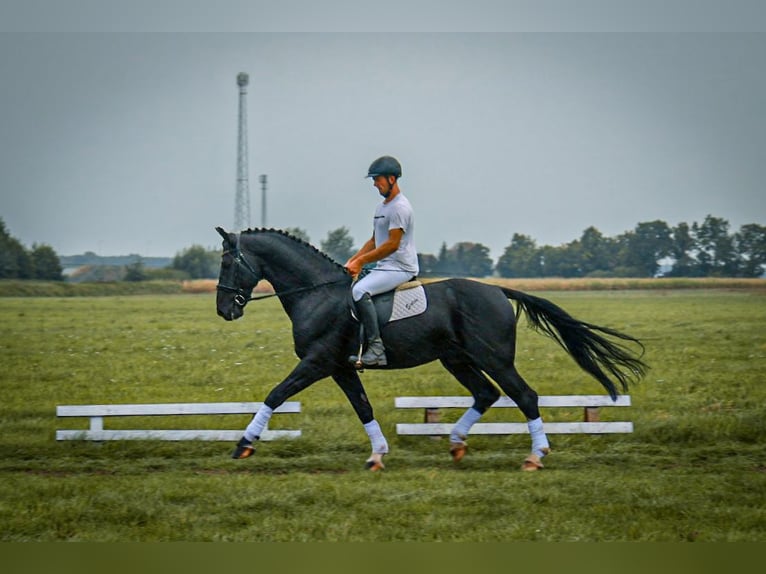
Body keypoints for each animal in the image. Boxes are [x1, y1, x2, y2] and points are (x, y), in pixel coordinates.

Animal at [214, 228, 648, 472]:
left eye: (227, 263)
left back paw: (534, 456)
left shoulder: (318, 362)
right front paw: (377, 456)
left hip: (493, 358)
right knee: (486, 393)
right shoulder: (341, 367)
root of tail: (496, 290)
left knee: (524, 396)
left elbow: (276, 395)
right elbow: (363, 408)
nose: (224, 310)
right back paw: (456, 443)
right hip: (457, 359)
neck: (317, 294)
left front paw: (244, 445)